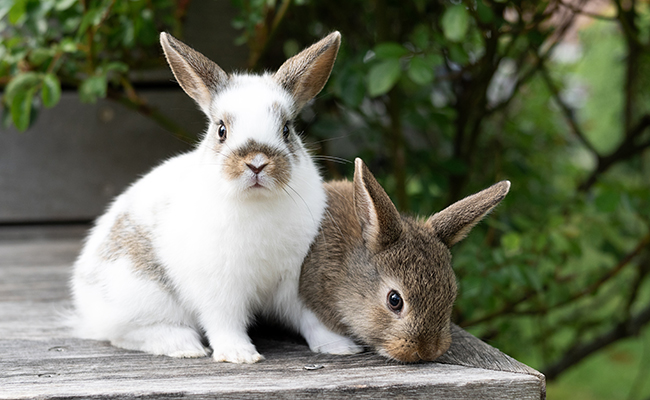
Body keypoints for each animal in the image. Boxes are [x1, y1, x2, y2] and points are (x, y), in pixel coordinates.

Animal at [71, 30, 360, 362]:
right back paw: (183, 345)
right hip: (141, 294)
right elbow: (224, 321)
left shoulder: (296, 279)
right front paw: (240, 354)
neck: (256, 204)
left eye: (287, 129)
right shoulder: (219, 288)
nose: (257, 163)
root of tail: (82, 293)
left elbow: (311, 317)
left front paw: (339, 347)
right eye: (221, 130)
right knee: (126, 333)